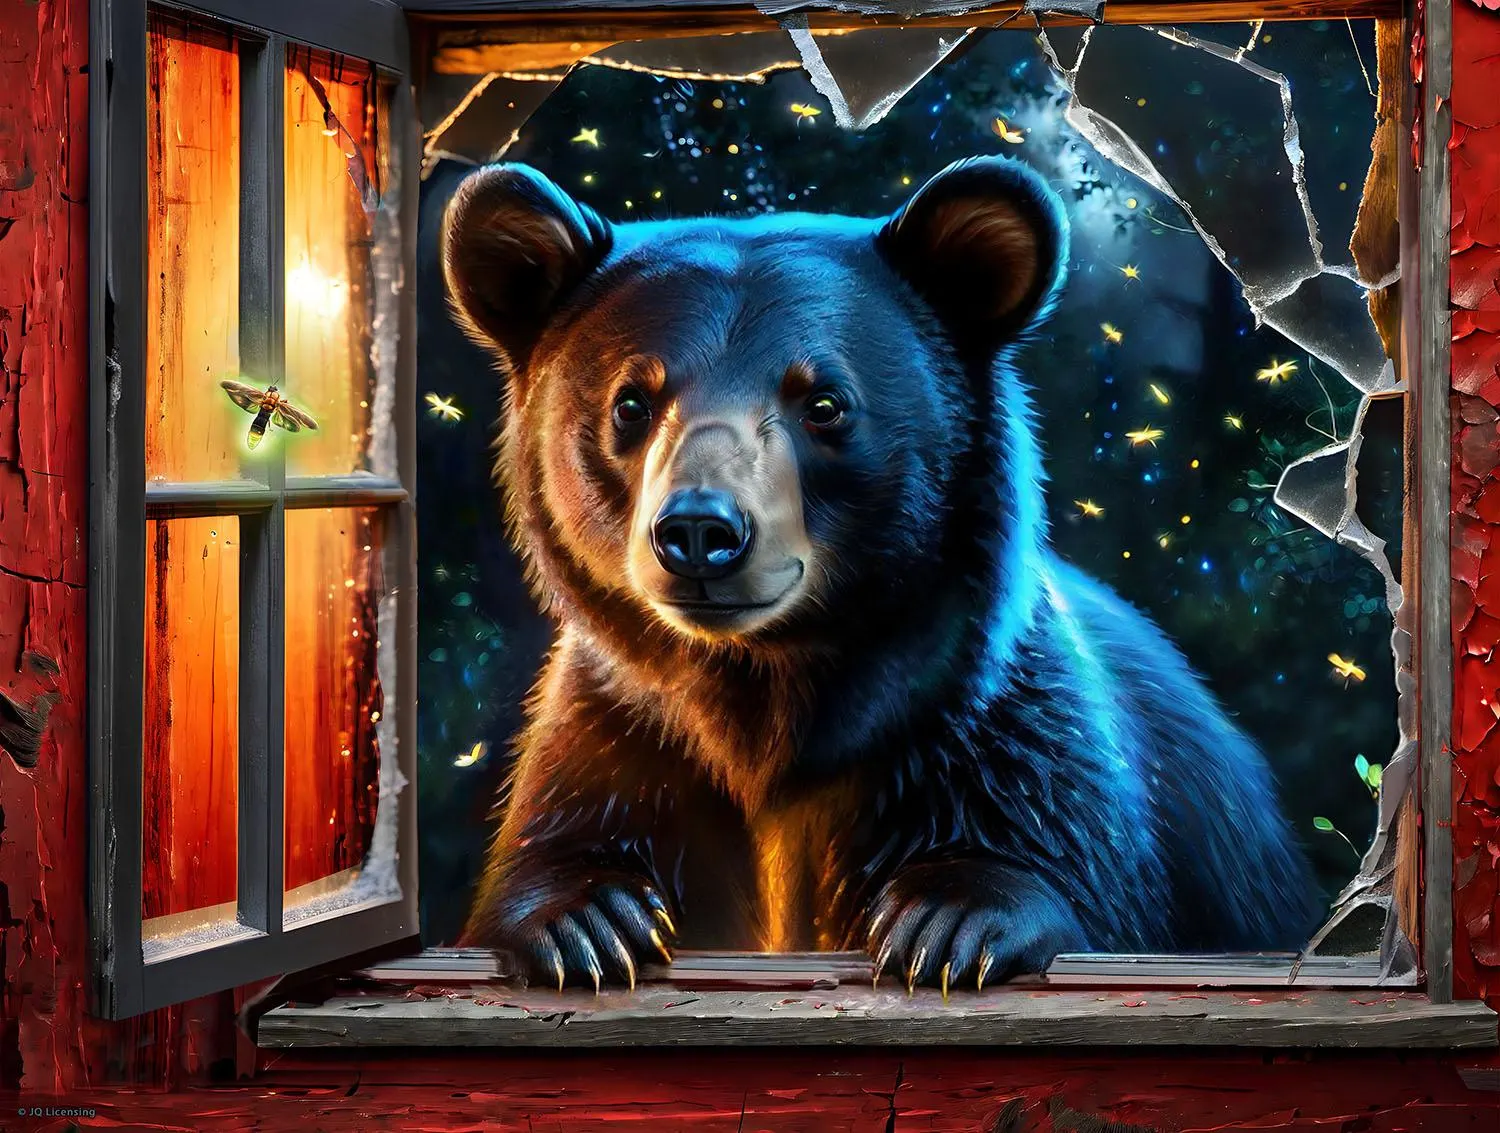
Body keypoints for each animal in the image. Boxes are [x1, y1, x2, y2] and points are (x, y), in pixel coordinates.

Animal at [442, 155, 1319, 992]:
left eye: (824, 402)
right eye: (632, 402)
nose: (699, 532)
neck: (763, 699)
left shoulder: (992, 737)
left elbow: (1061, 852)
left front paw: (949, 921)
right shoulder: (620, 739)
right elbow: (557, 833)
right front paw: (587, 922)